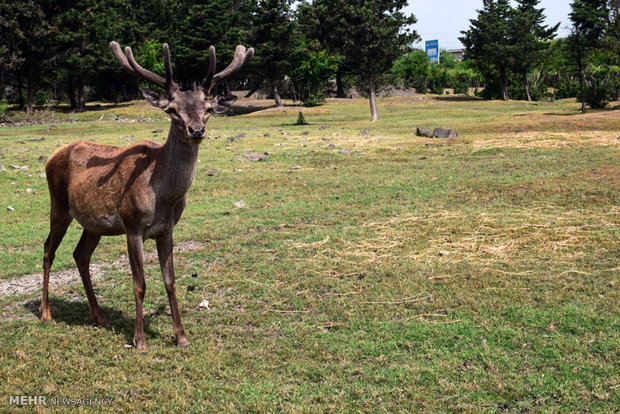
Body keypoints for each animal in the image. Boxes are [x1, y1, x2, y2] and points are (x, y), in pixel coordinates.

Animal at [41, 39, 254, 352]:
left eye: (209, 108)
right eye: (172, 109)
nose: (196, 129)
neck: (164, 198)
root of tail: (51, 157)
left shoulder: (167, 230)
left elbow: (171, 282)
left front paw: (181, 336)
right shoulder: (133, 225)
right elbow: (139, 283)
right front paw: (139, 340)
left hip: (93, 224)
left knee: (80, 255)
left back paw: (99, 316)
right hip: (58, 206)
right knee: (48, 249)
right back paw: (45, 313)